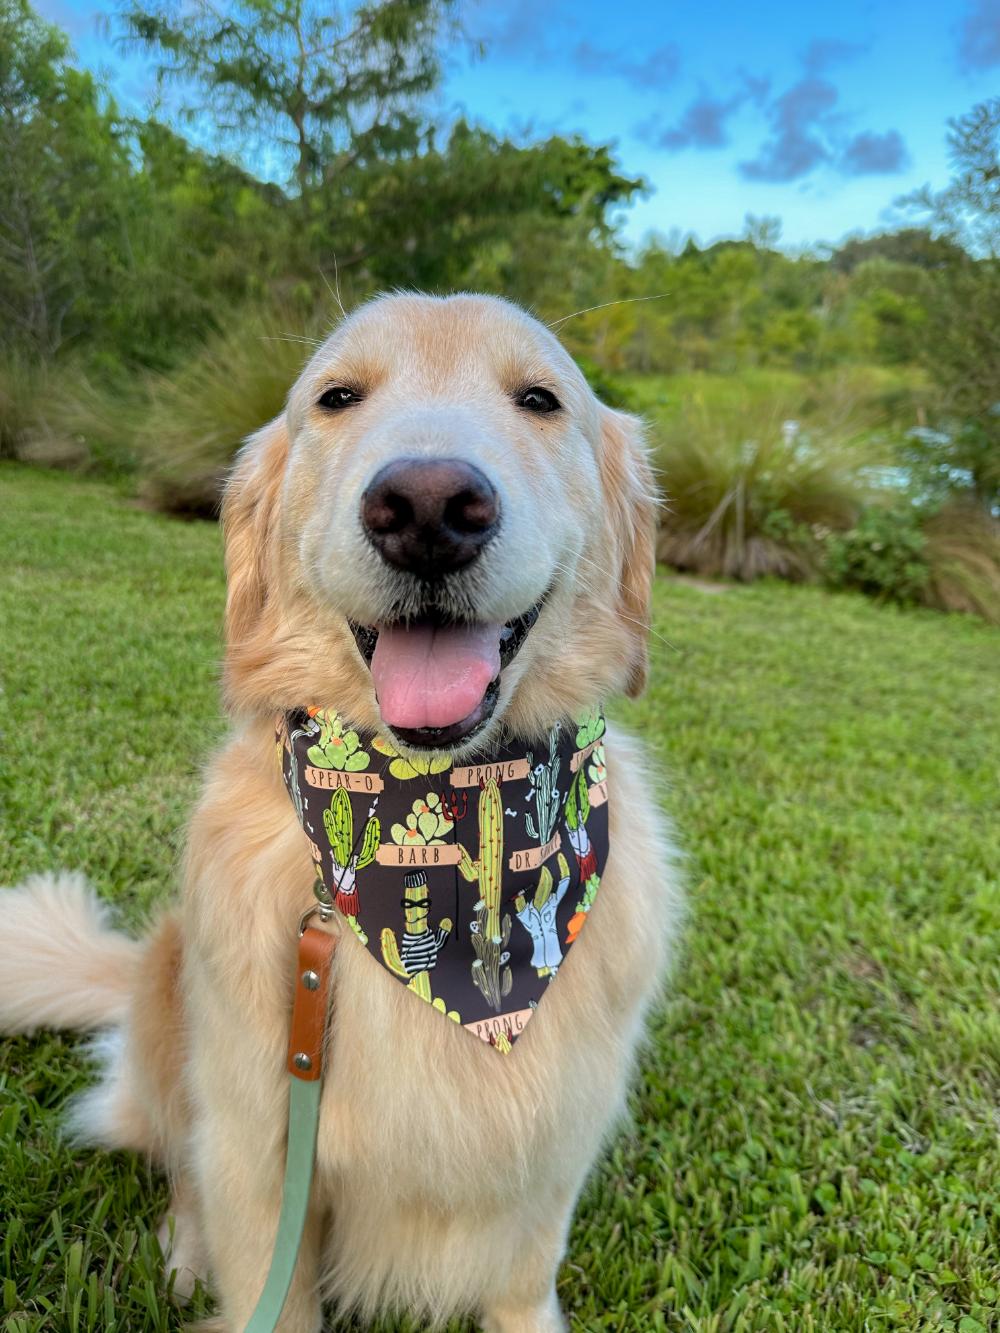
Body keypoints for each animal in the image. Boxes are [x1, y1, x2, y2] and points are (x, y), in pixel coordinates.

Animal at [0, 294, 682, 1333]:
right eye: (336, 397)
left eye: (539, 399)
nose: (430, 507)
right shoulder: (259, 1145)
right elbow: (265, 1282)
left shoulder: (550, 1153)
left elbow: (523, 1278)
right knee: (178, 1173)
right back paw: (184, 1253)